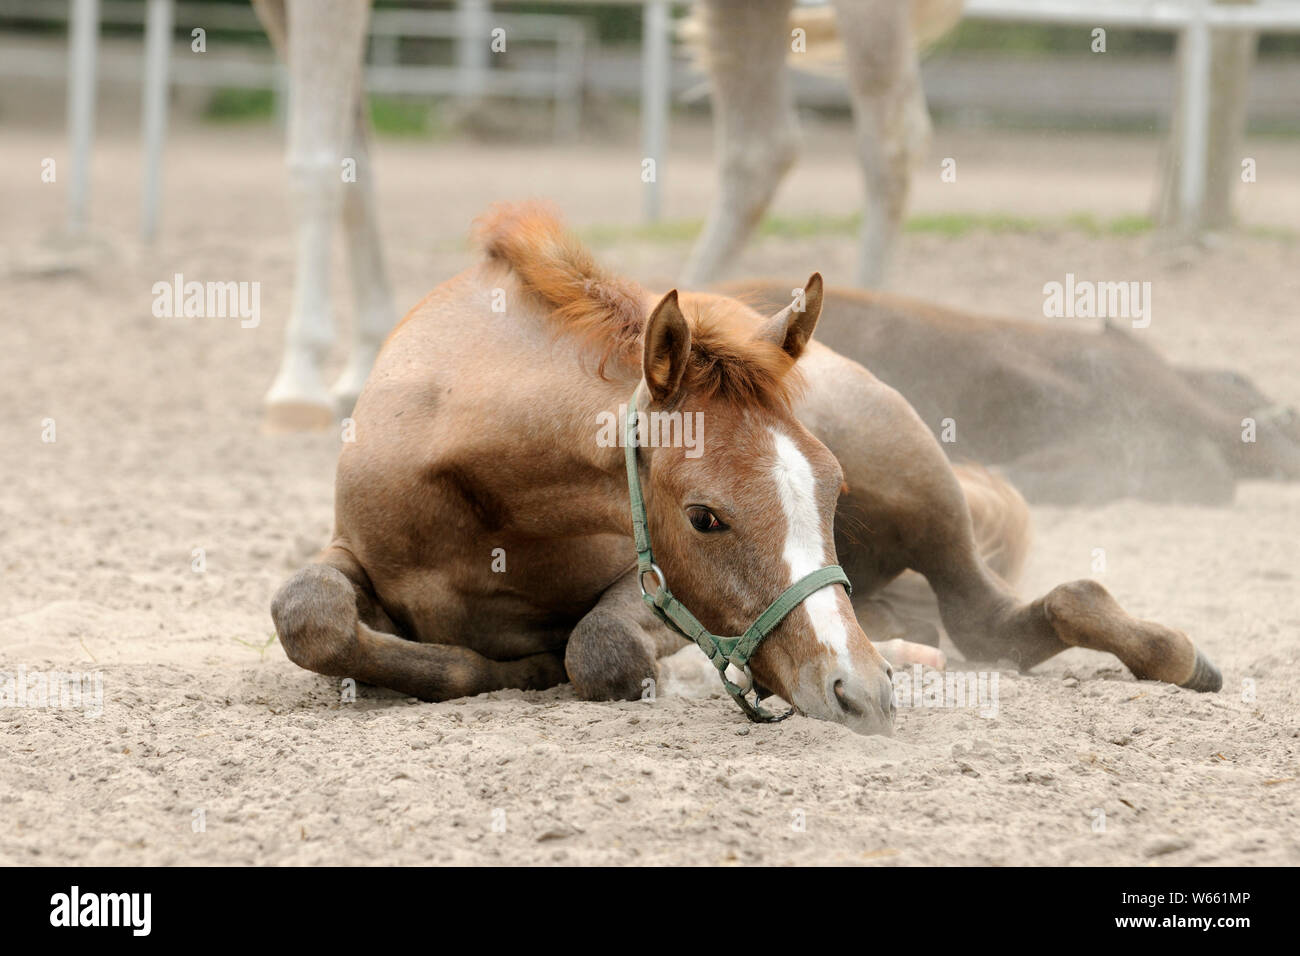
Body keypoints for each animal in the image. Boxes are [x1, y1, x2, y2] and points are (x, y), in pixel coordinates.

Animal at [269, 203, 1222, 735]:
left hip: (915, 478)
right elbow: (308, 614)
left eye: (831, 493)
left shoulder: (642, 591)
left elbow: (602, 649)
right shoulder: (353, 553)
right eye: (705, 516)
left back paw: (1171, 655)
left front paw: (544, 666)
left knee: (1002, 615)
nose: (861, 694)